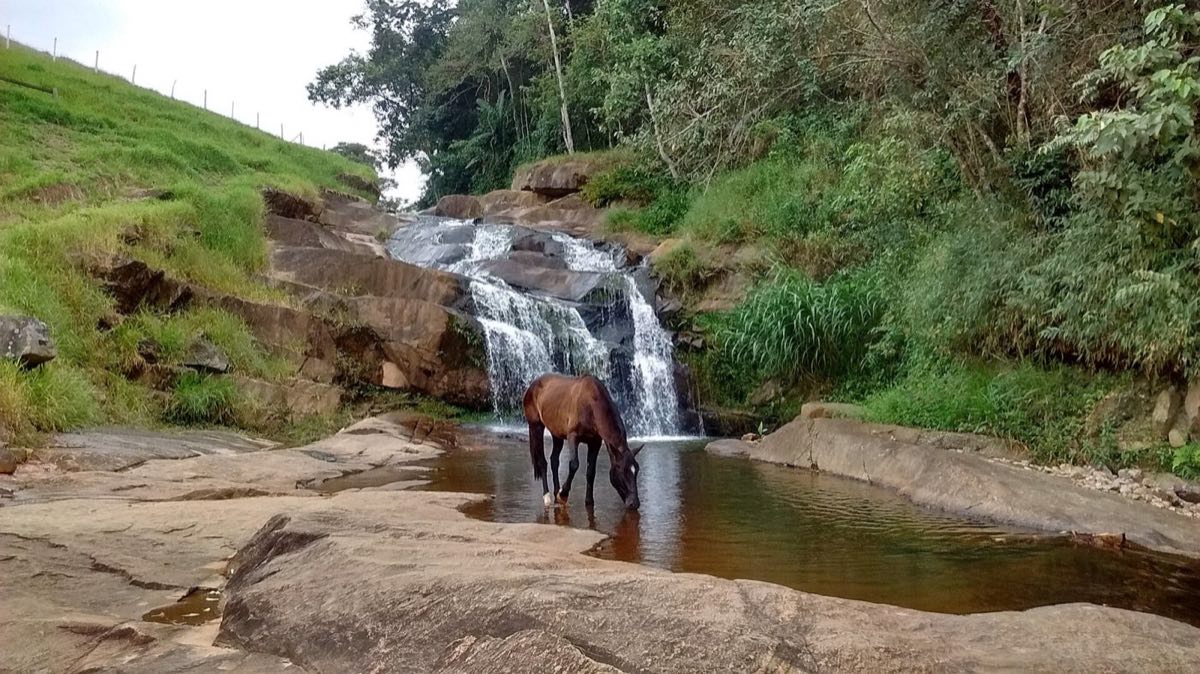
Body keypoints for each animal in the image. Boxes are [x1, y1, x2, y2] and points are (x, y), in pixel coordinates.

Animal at [523, 373, 644, 510]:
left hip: (556, 433)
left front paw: (589, 501)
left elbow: (591, 472)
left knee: (554, 460)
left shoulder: (595, 443)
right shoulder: (573, 437)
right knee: (542, 462)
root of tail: (532, 385)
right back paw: (547, 497)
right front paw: (563, 494)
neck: (591, 405)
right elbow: (574, 465)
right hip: (536, 427)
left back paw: (556, 494)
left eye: (636, 470)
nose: (634, 503)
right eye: (622, 471)